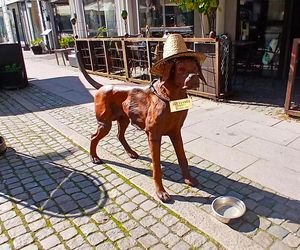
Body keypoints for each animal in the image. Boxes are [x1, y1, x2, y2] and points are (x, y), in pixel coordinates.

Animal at [77, 33, 206, 202]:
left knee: (119, 135)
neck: (171, 97)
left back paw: (131, 152)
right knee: (94, 137)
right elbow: (156, 167)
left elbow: (182, 158)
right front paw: (160, 192)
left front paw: (188, 179)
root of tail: (102, 87)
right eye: (181, 69)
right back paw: (94, 157)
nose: (194, 78)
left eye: (195, 68)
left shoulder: (176, 132)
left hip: (123, 119)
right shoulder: (154, 135)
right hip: (105, 123)